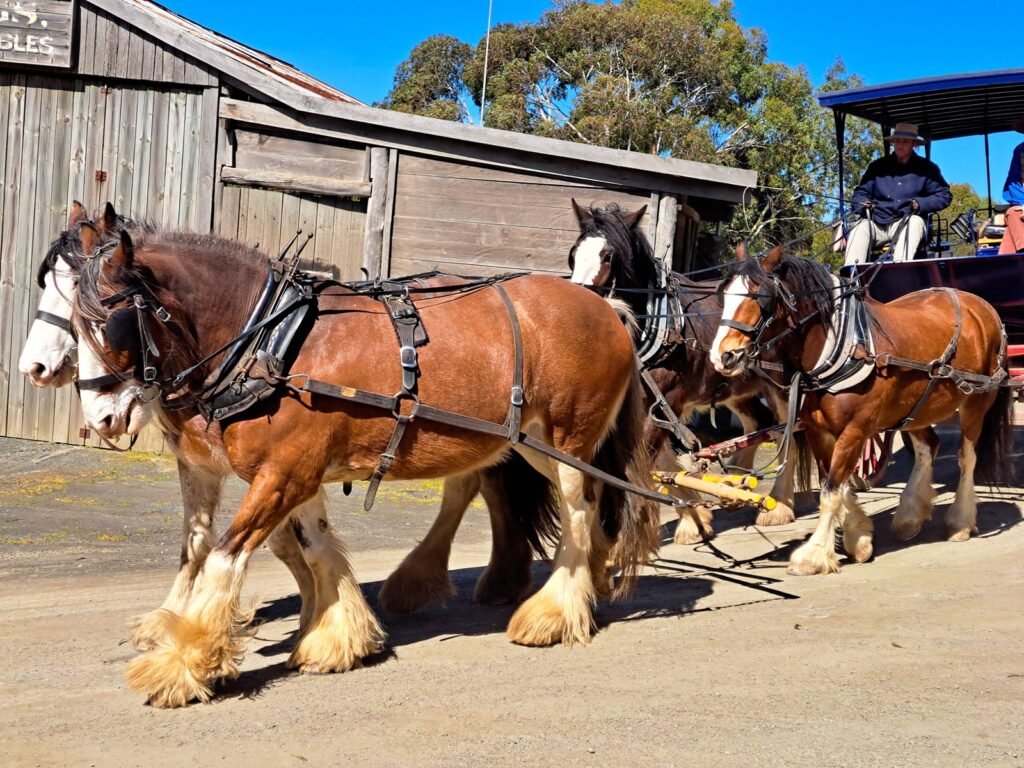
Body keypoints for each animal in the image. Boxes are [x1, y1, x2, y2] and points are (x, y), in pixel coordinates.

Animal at [71, 227, 660, 707]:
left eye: (110, 323)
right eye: (74, 323)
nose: (100, 419)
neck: (274, 342)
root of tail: (608, 310)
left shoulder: (283, 474)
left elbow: (224, 555)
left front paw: (180, 666)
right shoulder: (299, 474)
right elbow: (317, 549)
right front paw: (338, 637)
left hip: (568, 438)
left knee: (580, 513)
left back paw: (554, 612)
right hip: (533, 443)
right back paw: (583, 584)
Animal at [567, 200, 804, 542]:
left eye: (608, 256)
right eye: (573, 254)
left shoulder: (664, 404)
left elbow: (641, 470)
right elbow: (664, 466)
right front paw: (696, 520)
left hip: (784, 385)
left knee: (790, 434)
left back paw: (779, 506)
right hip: (737, 388)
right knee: (758, 424)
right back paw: (737, 482)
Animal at [711, 247, 1014, 575]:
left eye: (760, 297)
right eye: (722, 295)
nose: (722, 357)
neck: (842, 346)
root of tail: (982, 306)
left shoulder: (856, 429)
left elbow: (832, 490)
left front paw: (813, 554)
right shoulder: (819, 430)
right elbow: (836, 483)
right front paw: (859, 537)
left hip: (976, 403)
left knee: (967, 457)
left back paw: (960, 521)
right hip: (916, 407)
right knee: (927, 448)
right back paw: (909, 515)